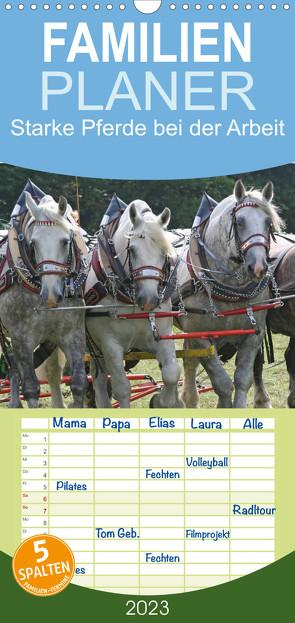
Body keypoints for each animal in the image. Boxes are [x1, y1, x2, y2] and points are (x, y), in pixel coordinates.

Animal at [0, 195, 88, 410]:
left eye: (65, 241)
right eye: (33, 243)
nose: (50, 295)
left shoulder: (72, 333)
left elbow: (79, 383)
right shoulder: (21, 337)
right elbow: (31, 388)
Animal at [173, 179, 284, 410]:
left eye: (268, 222)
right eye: (239, 222)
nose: (258, 267)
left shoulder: (253, 336)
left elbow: (243, 379)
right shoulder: (202, 338)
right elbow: (222, 383)